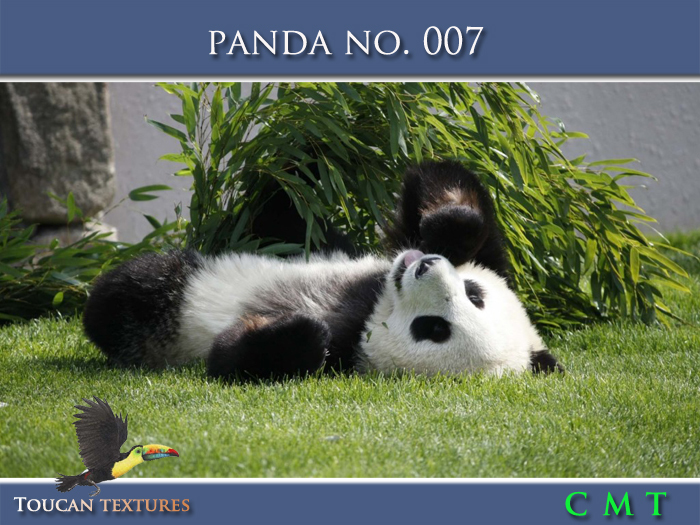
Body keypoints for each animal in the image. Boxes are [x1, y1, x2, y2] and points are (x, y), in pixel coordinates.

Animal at [83, 161, 562, 380]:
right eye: (473, 292)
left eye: (434, 329)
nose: (424, 266)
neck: (375, 305)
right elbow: (454, 189)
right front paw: (449, 227)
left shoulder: (350, 354)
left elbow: (236, 359)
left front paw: (299, 330)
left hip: (168, 311)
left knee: (135, 292)